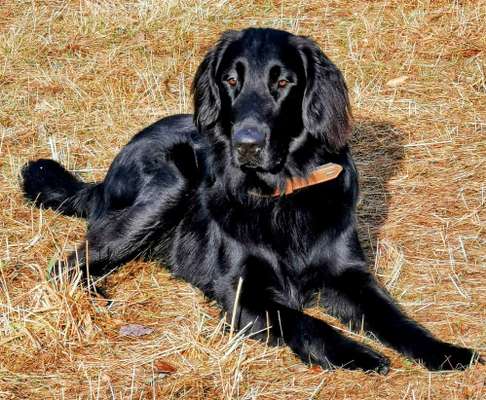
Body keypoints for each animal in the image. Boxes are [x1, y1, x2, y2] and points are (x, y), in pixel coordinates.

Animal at [21, 28, 478, 376]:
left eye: (284, 82)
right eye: (230, 79)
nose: (247, 144)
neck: (280, 193)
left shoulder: (350, 275)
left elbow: (393, 316)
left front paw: (443, 351)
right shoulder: (243, 293)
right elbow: (307, 322)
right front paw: (357, 353)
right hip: (170, 184)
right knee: (69, 263)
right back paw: (91, 299)